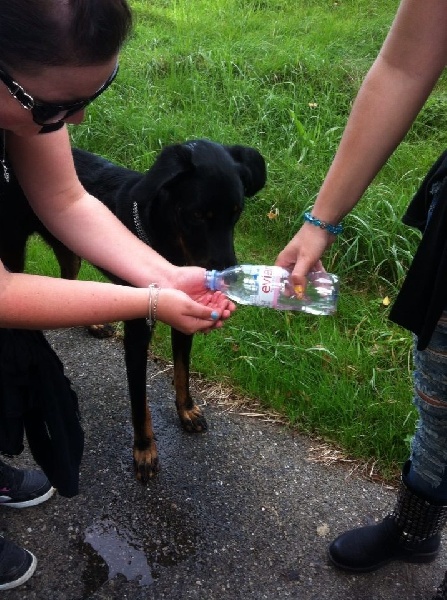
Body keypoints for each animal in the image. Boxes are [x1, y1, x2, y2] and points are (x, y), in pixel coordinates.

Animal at [0, 141, 266, 482]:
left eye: (236, 213)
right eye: (197, 215)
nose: (227, 277)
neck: (162, 241)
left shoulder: (182, 322)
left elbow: (182, 371)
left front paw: (186, 410)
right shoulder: (137, 334)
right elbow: (140, 403)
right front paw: (144, 450)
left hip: (69, 246)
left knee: (69, 281)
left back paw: (94, 324)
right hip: (13, 250)